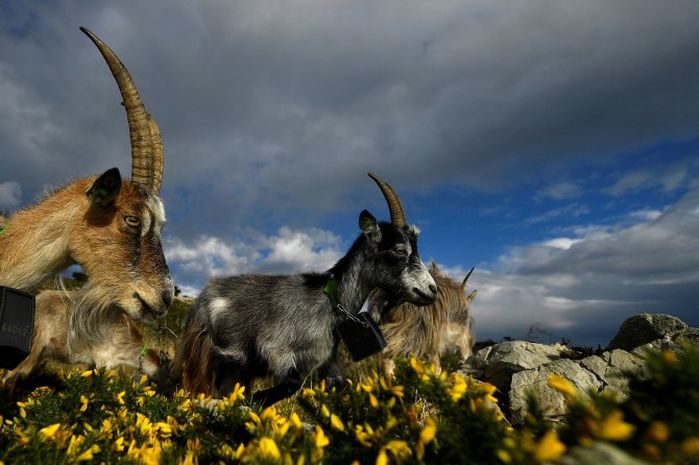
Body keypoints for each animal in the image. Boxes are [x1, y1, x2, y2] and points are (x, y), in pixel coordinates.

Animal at [174, 172, 438, 404]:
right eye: (399, 250)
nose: (431, 289)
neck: (329, 303)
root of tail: (204, 294)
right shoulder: (275, 350)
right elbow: (292, 384)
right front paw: (253, 402)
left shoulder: (329, 363)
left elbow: (340, 387)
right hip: (205, 351)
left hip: (234, 368)